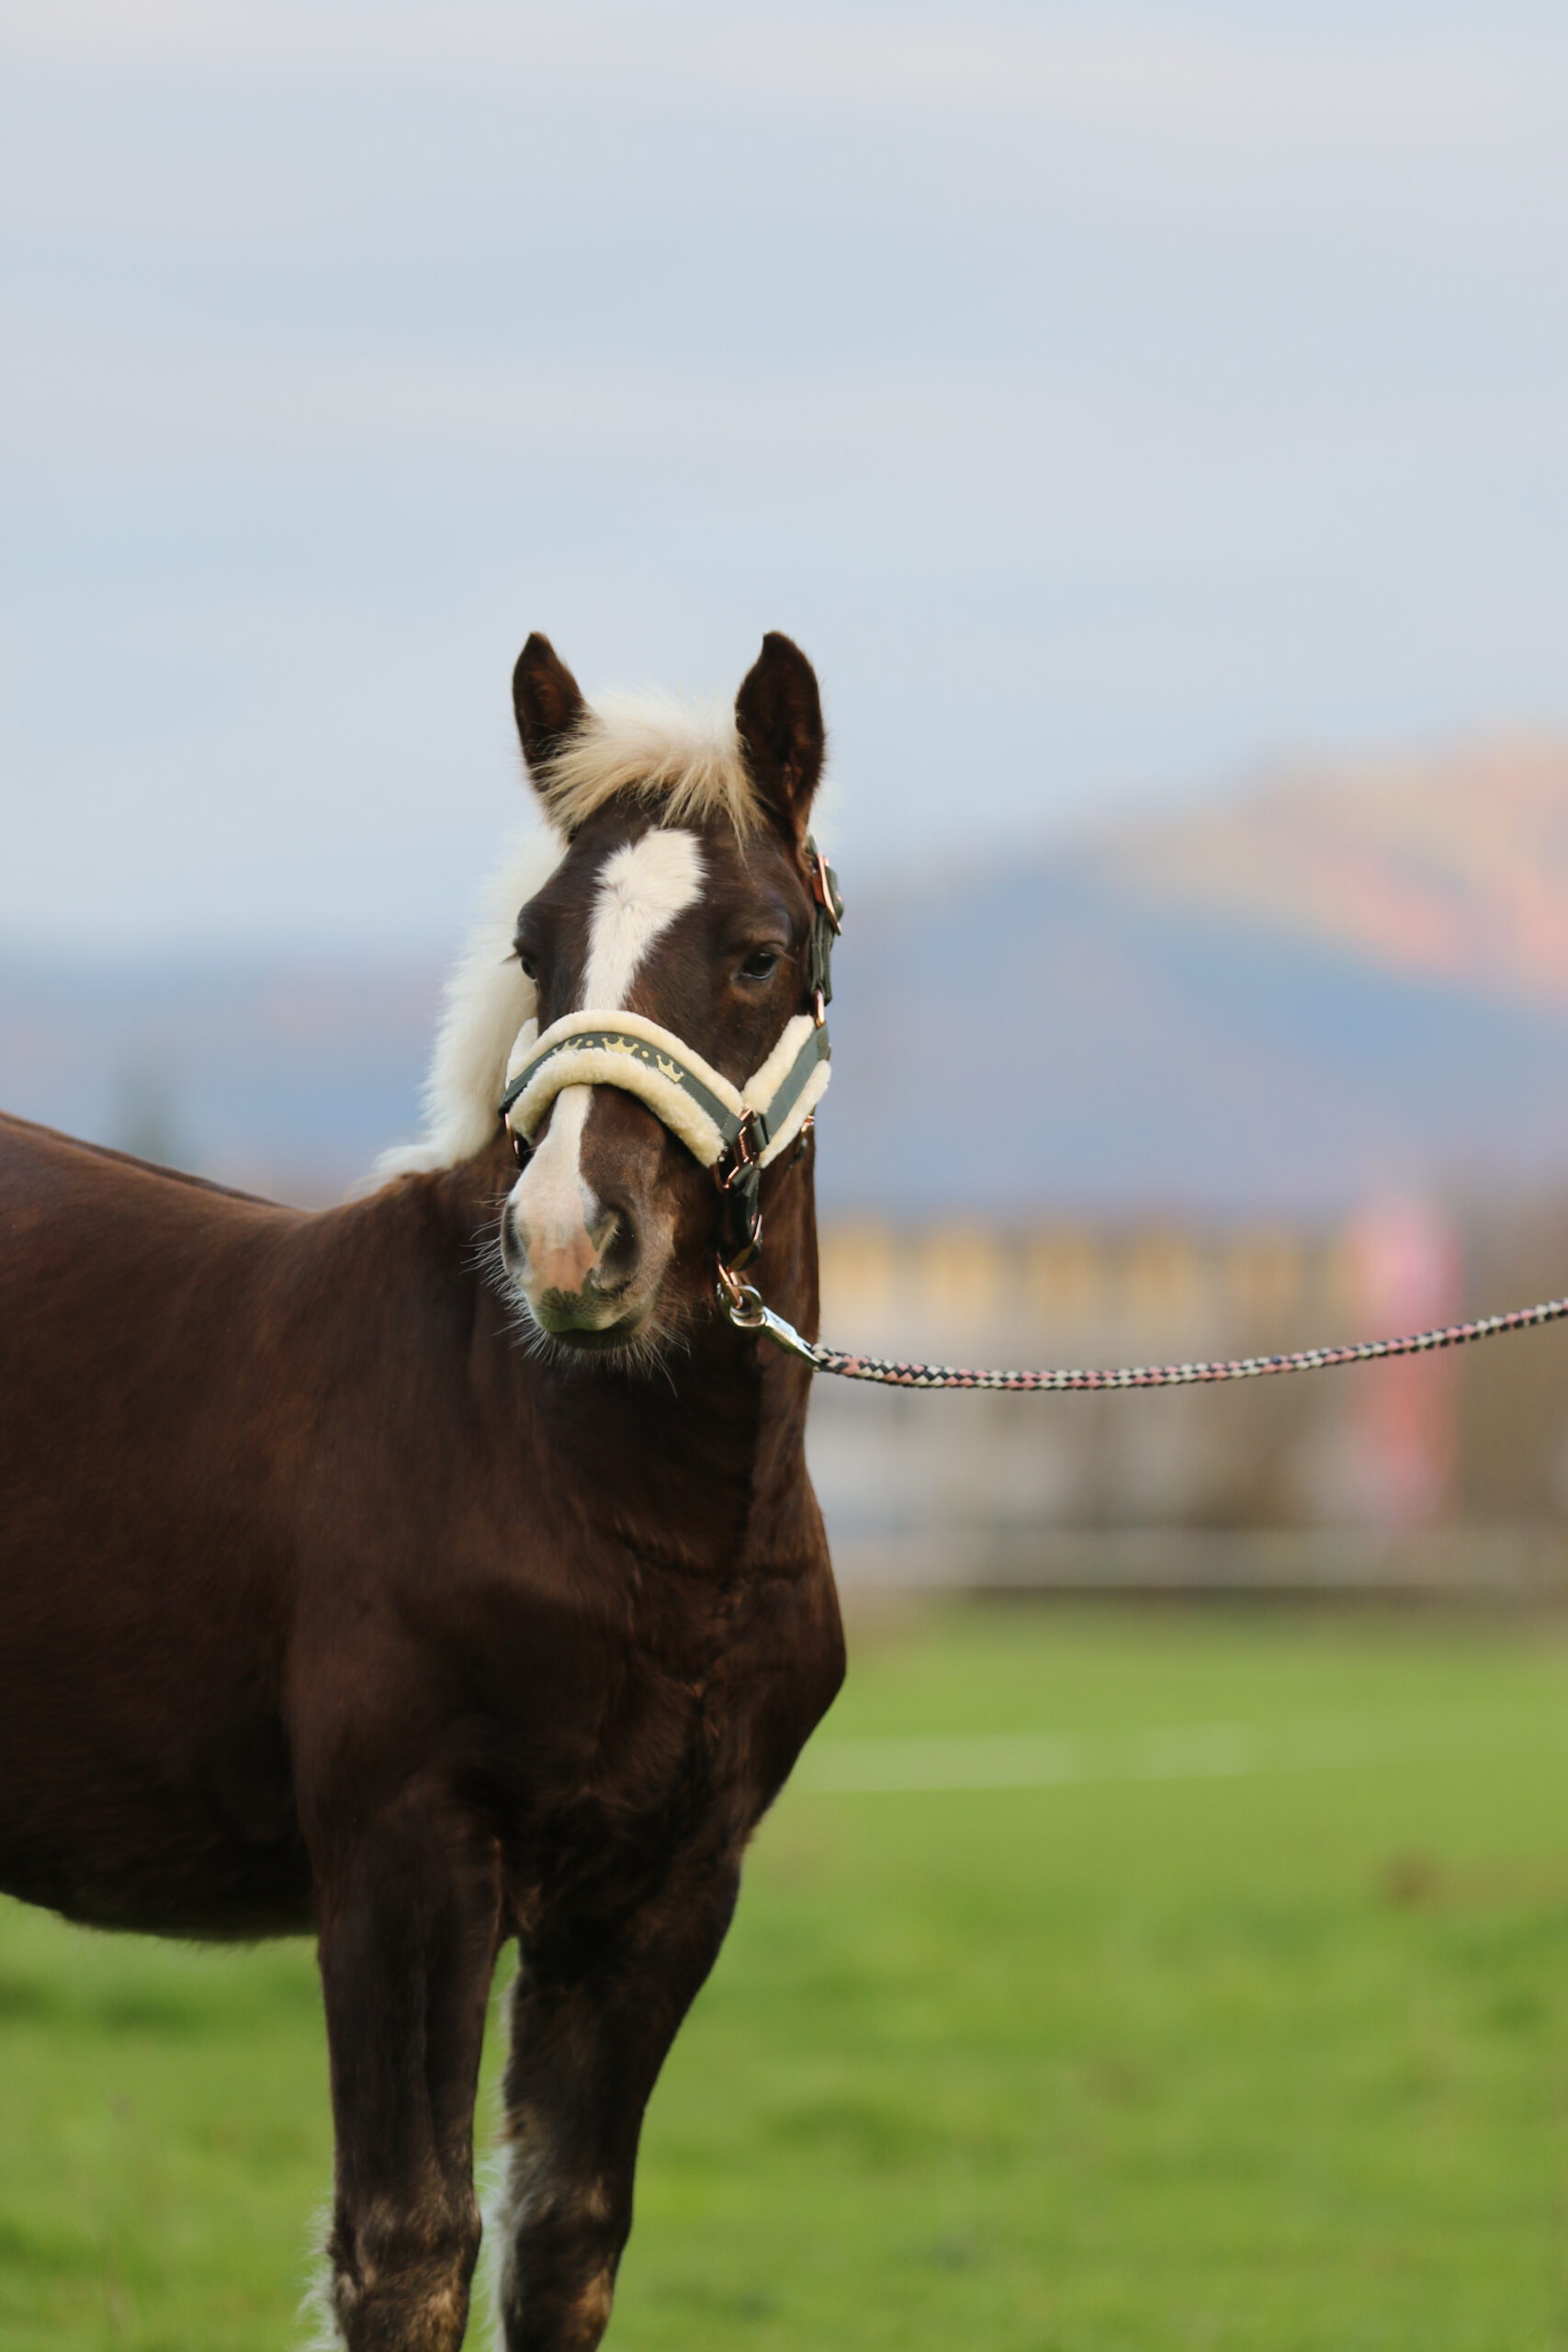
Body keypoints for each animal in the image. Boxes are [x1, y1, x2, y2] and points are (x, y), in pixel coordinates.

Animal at [0, 635, 846, 2342]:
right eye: (534, 946)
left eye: (758, 954)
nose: (572, 1243)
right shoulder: (404, 1861)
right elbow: (406, 2245)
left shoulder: (660, 1896)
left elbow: (565, 2237)